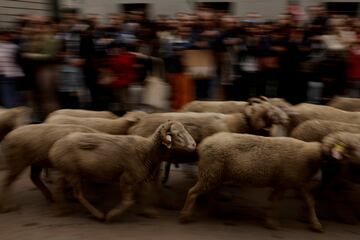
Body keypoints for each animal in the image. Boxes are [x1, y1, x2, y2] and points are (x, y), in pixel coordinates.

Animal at [48, 120, 195, 221]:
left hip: (67, 171)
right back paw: (97, 214)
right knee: (78, 194)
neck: (148, 149)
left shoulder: (140, 177)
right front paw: (112, 215)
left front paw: (149, 212)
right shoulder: (127, 177)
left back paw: (60, 209)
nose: (194, 145)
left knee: (58, 186)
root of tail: (54, 147)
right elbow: (128, 201)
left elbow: (145, 193)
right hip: (72, 172)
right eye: (176, 134)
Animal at [179, 132, 360, 232]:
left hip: (216, 174)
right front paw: (272, 223)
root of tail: (203, 144)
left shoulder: (296, 181)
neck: (309, 156)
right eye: (331, 158)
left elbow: (309, 201)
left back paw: (215, 211)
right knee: (193, 192)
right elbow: (276, 201)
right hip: (211, 172)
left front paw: (316, 225)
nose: (331, 179)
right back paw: (185, 216)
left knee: (210, 192)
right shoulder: (286, 181)